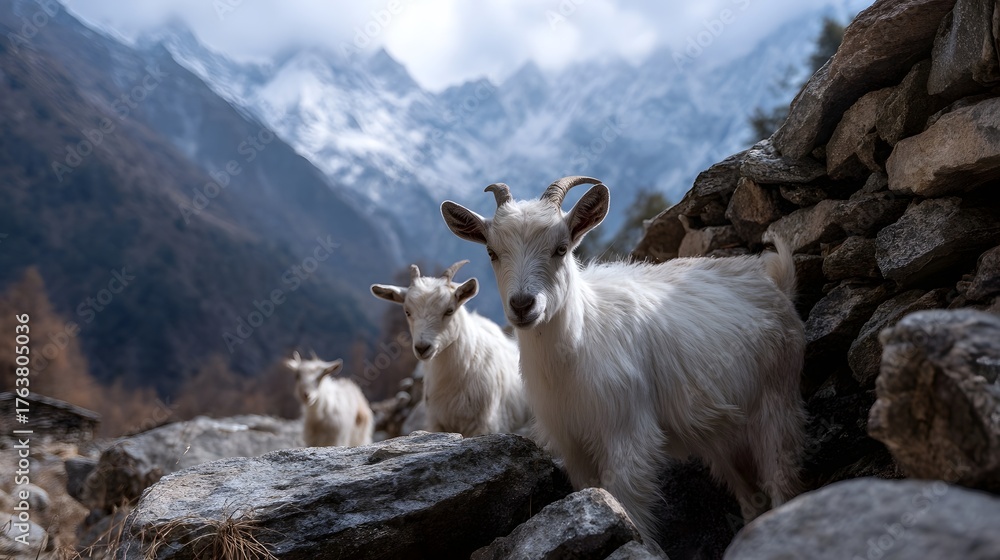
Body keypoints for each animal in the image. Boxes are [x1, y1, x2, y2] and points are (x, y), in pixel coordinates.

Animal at [441, 177, 806, 539]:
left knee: (782, 480)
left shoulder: (628, 434)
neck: (575, 348)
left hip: (777, 405)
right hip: (723, 433)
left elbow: (630, 506)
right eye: (492, 252)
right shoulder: (573, 445)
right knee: (750, 496)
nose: (522, 304)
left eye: (561, 248)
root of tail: (774, 280)